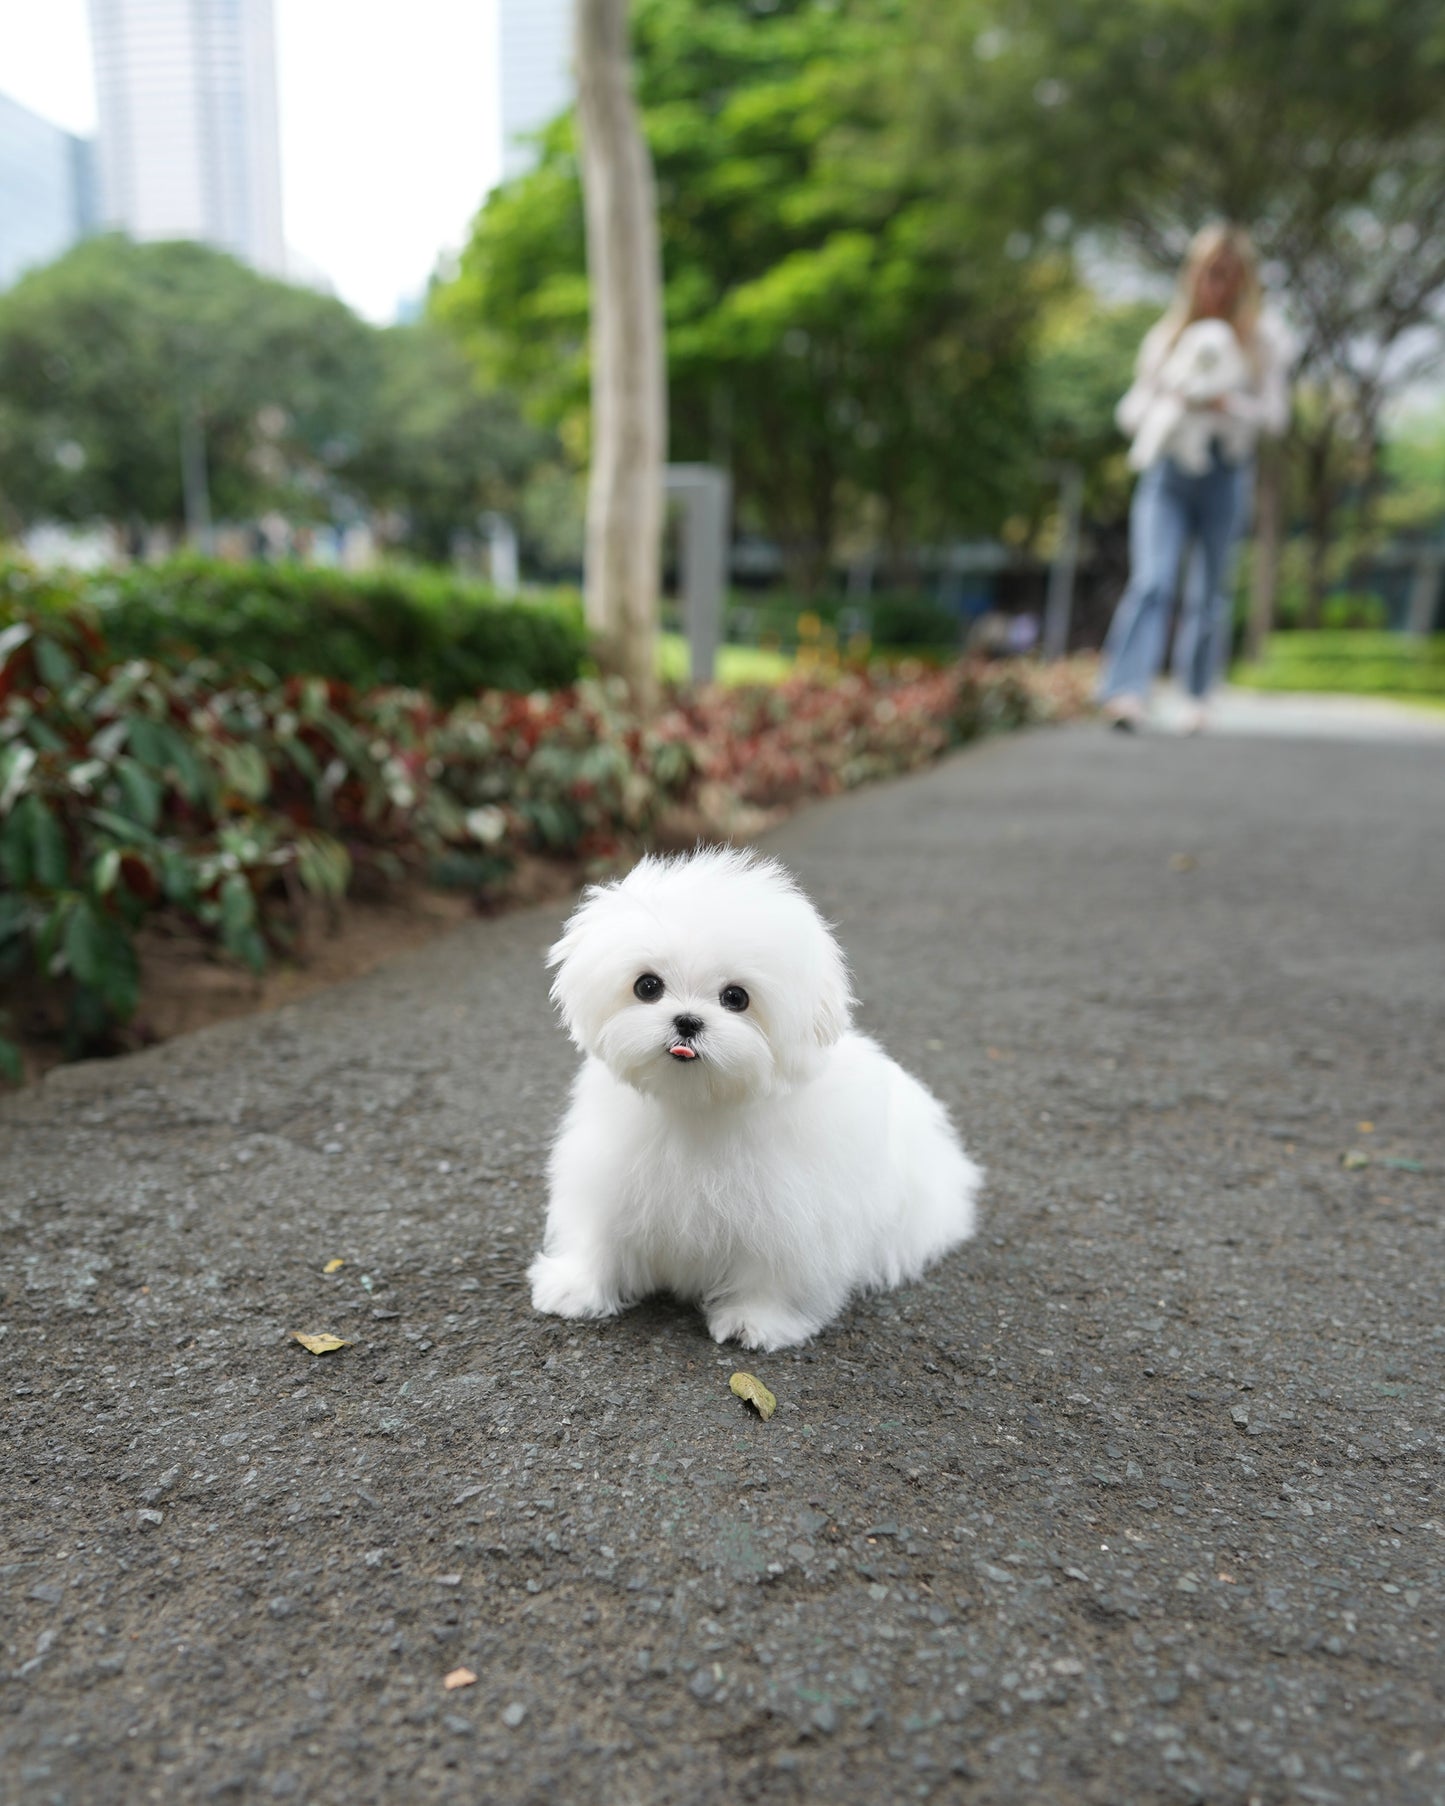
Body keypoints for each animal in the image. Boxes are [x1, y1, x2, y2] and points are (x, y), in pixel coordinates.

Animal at [531, 852, 982, 1350]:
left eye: (736, 997)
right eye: (647, 986)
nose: (687, 1021)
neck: (699, 1106)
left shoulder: (794, 1215)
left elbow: (777, 1270)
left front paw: (757, 1319)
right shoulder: (610, 1180)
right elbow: (600, 1237)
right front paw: (578, 1286)